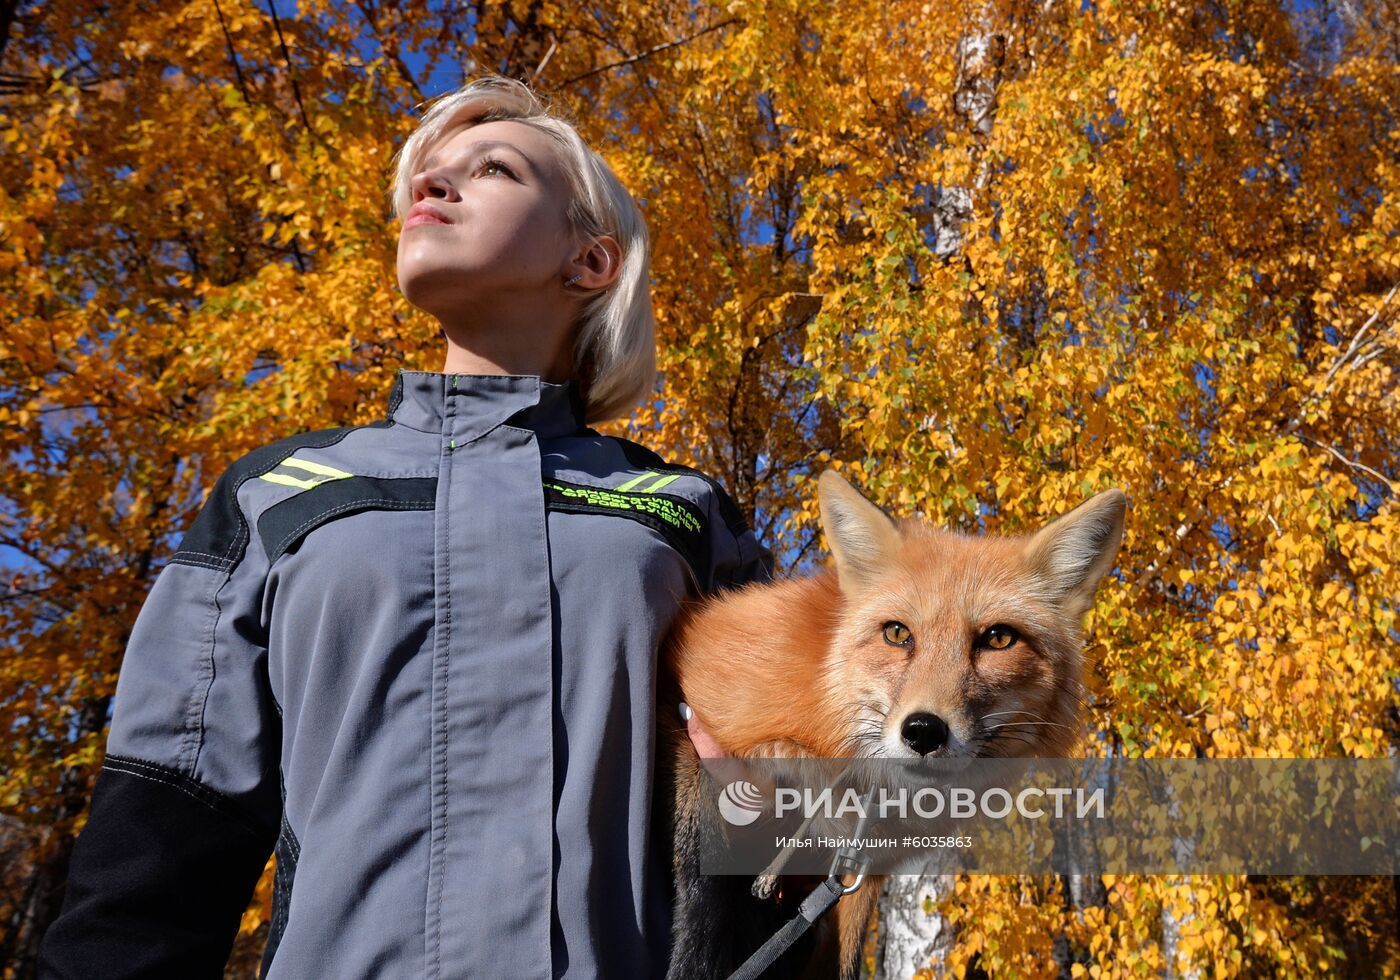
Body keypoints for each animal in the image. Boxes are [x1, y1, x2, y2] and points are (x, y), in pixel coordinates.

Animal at [658, 470, 1125, 974]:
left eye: (999, 639)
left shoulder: (859, 872)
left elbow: (843, 960)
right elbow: (701, 908)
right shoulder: (699, 734)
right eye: (897, 633)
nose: (923, 732)